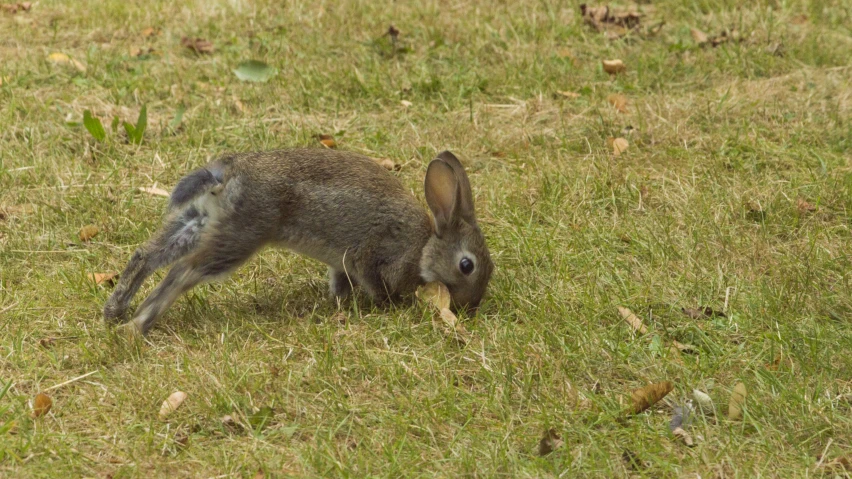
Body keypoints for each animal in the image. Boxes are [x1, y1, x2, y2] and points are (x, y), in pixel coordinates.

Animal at [105, 148, 492, 336]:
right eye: (467, 265)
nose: (470, 307)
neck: (425, 245)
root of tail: (228, 171)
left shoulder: (342, 264)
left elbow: (339, 282)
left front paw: (339, 302)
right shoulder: (375, 256)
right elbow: (376, 283)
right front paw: (389, 305)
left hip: (200, 219)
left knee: (148, 253)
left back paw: (114, 310)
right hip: (241, 234)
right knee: (182, 272)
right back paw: (138, 327)